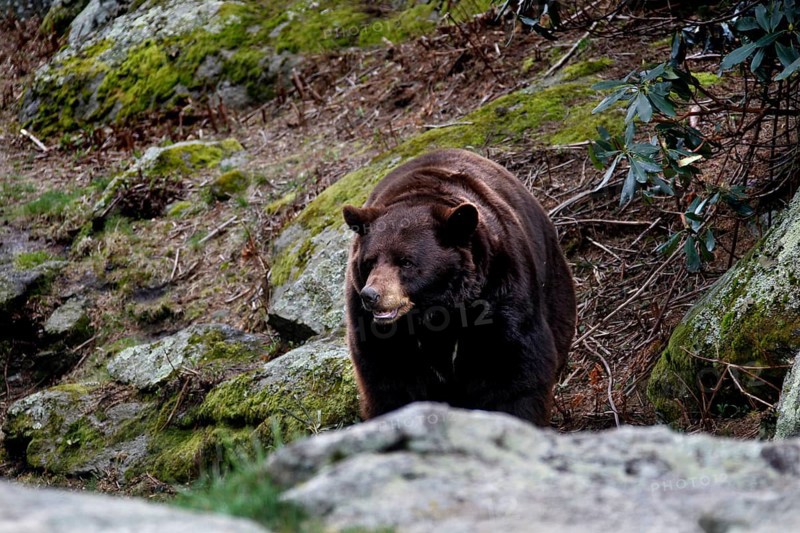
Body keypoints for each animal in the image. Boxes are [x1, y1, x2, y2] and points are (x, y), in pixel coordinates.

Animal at [341, 148, 576, 426]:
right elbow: (390, 381)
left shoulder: (498, 292)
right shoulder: (376, 332)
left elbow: (512, 368)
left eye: (406, 261)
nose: (371, 295)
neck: (435, 312)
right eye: (369, 262)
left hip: (552, 281)